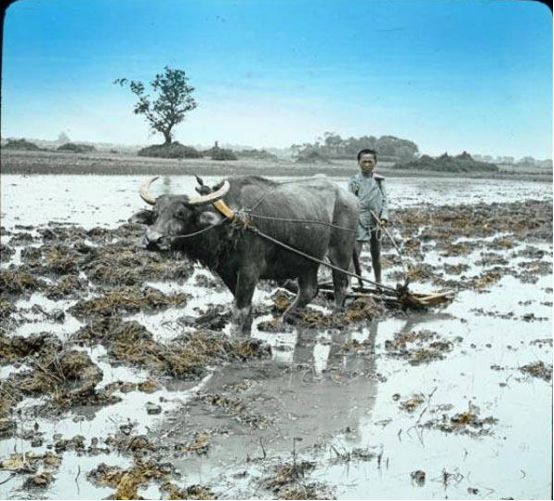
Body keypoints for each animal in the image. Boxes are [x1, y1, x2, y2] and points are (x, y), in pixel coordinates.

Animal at [136, 175, 356, 332]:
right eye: (155, 214)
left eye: (180, 214)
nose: (153, 240)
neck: (231, 222)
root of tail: (350, 198)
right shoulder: (226, 271)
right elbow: (243, 306)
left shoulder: (250, 270)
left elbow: (240, 309)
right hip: (308, 259)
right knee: (310, 290)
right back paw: (285, 318)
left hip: (340, 253)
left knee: (341, 285)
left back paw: (336, 316)